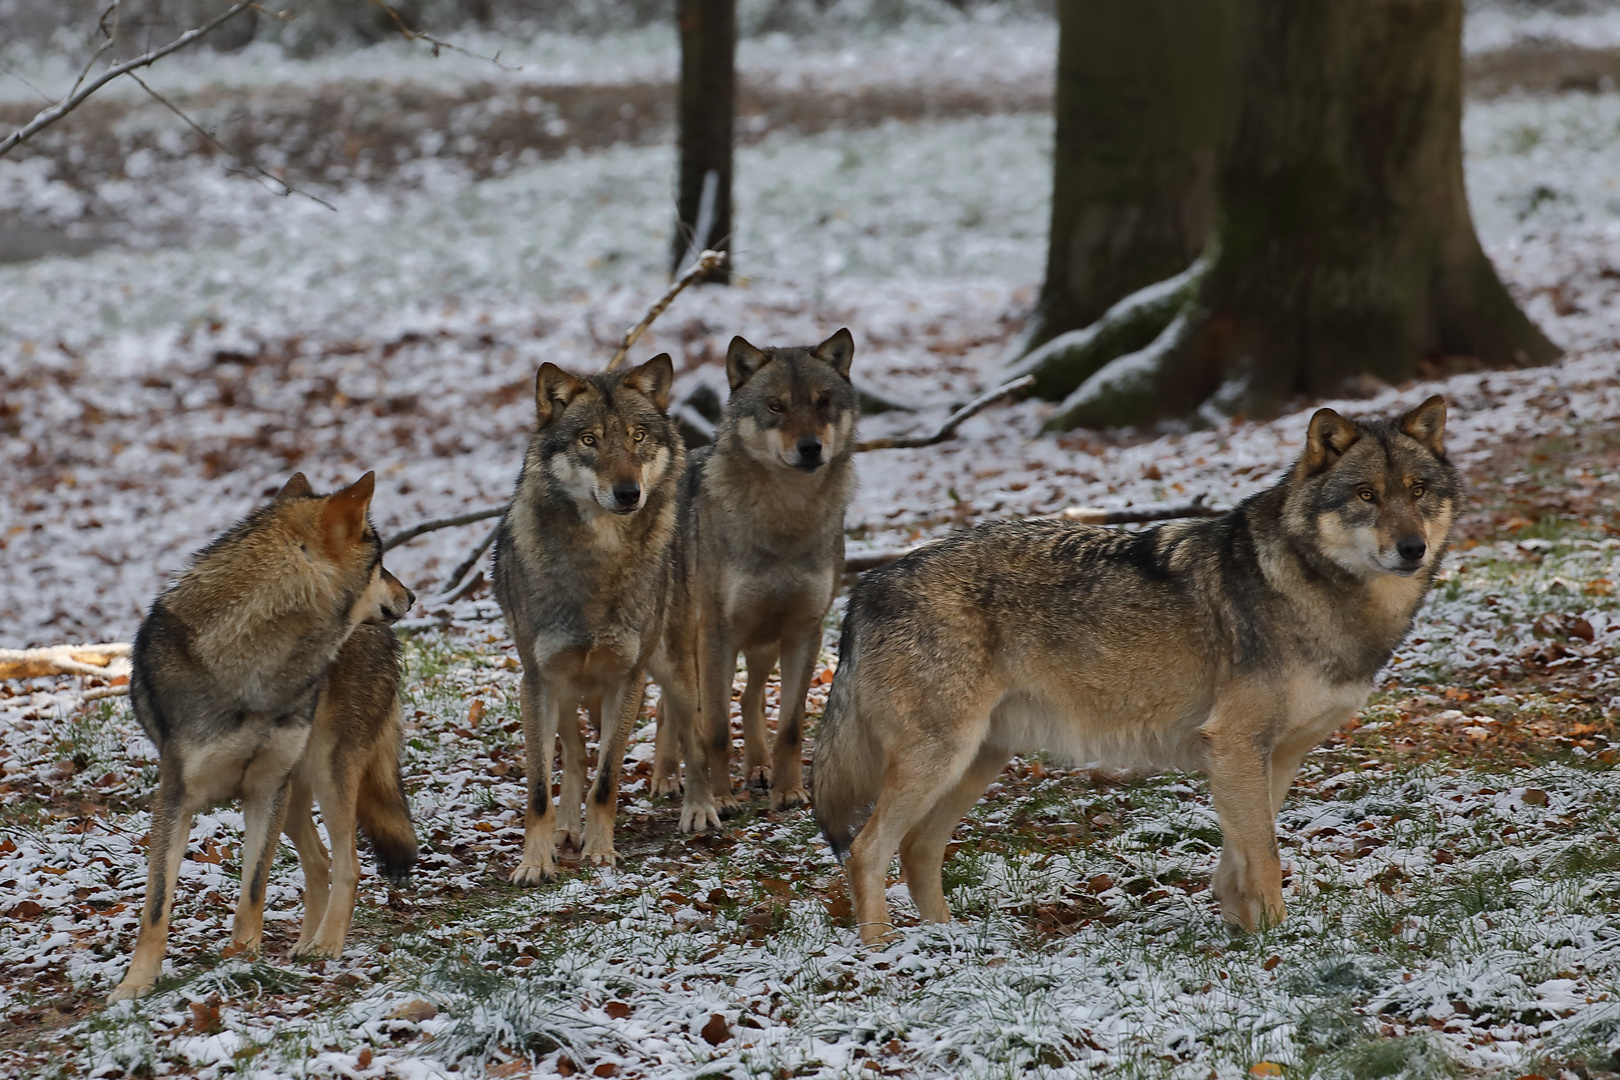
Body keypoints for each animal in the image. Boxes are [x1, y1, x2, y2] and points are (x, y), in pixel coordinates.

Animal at [110, 476, 414, 1003]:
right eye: (380, 563)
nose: (411, 597)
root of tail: (381, 637)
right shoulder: (176, 797)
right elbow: (156, 906)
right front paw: (136, 985)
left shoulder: (265, 790)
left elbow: (252, 891)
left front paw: (240, 961)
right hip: (295, 796)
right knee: (319, 865)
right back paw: (306, 946)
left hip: (326, 777)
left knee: (347, 865)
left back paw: (326, 946)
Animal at [489, 359, 699, 880]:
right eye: (589, 440)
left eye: (638, 436)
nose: (628, 493)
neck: (599, 563)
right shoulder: (538, 680)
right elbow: (541, 788)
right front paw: (536, 862)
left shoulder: (628, 678)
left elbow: (607, 780)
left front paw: (601, 852)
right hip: (568, 692)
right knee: (575, 757)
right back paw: (568, 827)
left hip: (673, 671)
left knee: (693, 729)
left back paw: (704, 806)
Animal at [651, 330, 861, 819]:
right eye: (776, 406)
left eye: (823, 402)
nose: (810, 447)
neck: (786, 520)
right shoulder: (717, 636)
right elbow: (714, 732)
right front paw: (722, 799)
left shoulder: (804, 632)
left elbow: (789, 728)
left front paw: (789, 791)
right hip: (688, 648)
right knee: (670, 712)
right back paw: (666, 778)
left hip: (763, 644)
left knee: (750, 698)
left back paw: (760, 770)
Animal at [816, 393, 1464, 939]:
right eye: (1366, 495)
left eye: (1417, 490)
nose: (1413, 549)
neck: (1313, 587)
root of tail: (866, 588)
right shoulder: (1236, 742)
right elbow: (1265, 854)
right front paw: (1281, 940)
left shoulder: (1272, 756)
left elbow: (1238, 854)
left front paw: (1242, 930)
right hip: (940, 759)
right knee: (868, 849)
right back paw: (882, 952)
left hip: (976, 761)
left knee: (918, 849)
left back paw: (947, 943)